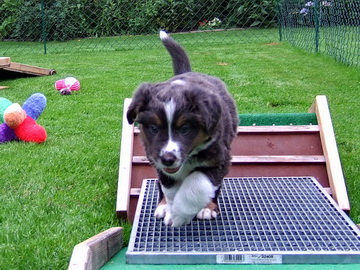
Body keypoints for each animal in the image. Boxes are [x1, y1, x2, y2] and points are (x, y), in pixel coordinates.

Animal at [127, 30, 239, 227]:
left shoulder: (219, 159)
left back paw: (208, 208)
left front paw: (180, 214)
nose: (168, 159)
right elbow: (170, 189)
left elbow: (197, 184)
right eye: (154, 128)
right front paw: (171, 210)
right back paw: (163, 206)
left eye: (185, 129)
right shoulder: (159, 163)